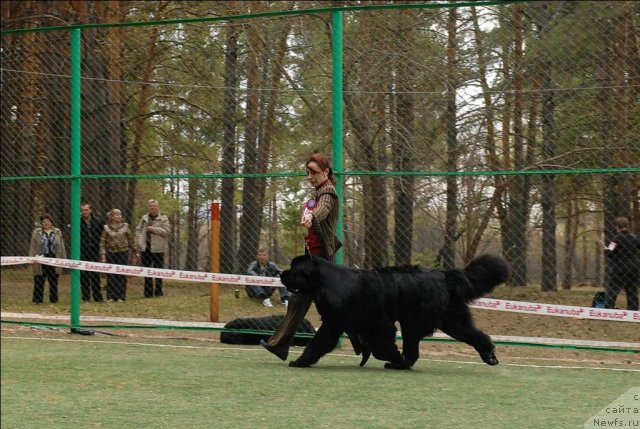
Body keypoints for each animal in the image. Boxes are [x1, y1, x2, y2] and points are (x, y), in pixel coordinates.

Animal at [280, 254, 510, 368]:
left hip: (414, 322)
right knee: (476, 335)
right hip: (452, 320)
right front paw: (300, 362)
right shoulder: (333, 324)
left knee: (413, 350)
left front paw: (394, 357)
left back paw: (399, 364)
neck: (327, 283)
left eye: (294, 269)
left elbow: (382, 347)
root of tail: (444, 275)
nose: (282, 274)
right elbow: (316, 344)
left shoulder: (378, 324)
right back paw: (489, 355)